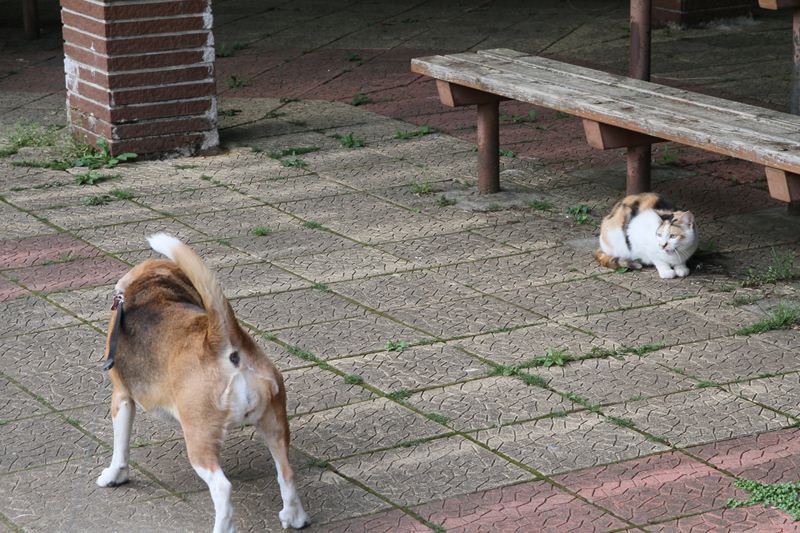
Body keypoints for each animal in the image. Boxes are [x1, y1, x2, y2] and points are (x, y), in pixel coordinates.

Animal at [95, 233, 309, 532]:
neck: (155, 286)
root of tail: (225, 347)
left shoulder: (122, 396)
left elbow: (120, 445)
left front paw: (115, 475)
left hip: (199, 438)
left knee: (222, 488)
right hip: (274, 423)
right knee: (287, 472)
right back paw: (294, 517)